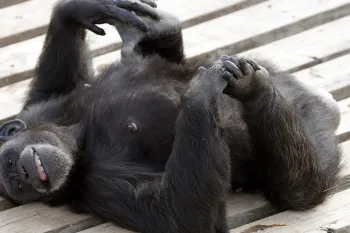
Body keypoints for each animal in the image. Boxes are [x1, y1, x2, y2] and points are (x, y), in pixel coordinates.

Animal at [0, 0, 342, 232]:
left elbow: (52, 87)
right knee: (298, 188)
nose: (25, 174)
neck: (79, 140)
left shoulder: (47, 109)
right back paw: (255, 89)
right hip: (315, 144)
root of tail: (325, 103)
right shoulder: (99, 188)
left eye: (8, 163)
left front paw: (75, 10)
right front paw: (199, 94)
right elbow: (178, 215)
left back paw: (156, 30)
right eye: (17, 188)